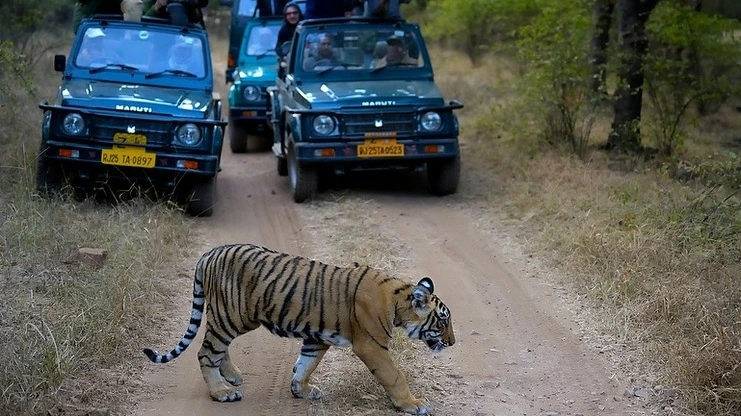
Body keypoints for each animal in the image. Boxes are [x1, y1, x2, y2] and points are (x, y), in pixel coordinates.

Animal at [142, 242, 454, 414]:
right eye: (442, 320)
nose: (451, 343)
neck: (398, 300)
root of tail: (210, 252)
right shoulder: (371, 345)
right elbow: (394, 375)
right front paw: (413, 404)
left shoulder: (317, 338)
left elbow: (306, 364)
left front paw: (300, 389)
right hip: (231, 315)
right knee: (206, 352)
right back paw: (221, 391)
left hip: (230, 319)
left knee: (217, 347)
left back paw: (232, 376)